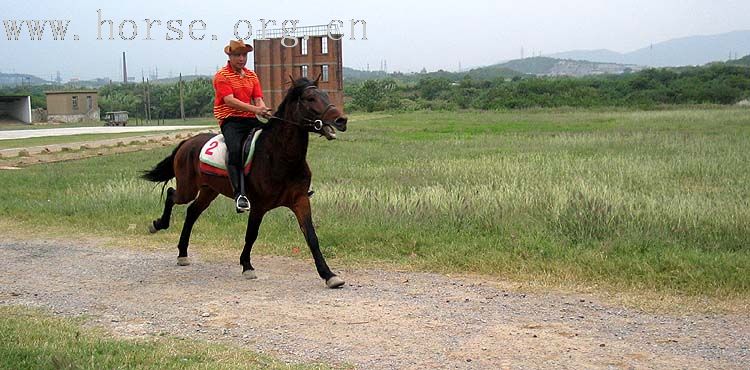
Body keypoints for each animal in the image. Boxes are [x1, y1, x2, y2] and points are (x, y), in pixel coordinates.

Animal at [142, 76, 348, 288]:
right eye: (310, 98)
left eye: (326, 95)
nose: (341, 120)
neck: (279, 157)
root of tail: (187, 142)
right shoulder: (259, 205)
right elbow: (251, 234)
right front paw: (247, 266)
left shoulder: (300, 200)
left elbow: (311, 237)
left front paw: (329, 275)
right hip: (187, 188)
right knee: (172, 194)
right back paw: (158, 225)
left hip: (209, 190)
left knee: (192, 212)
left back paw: (182, 253)